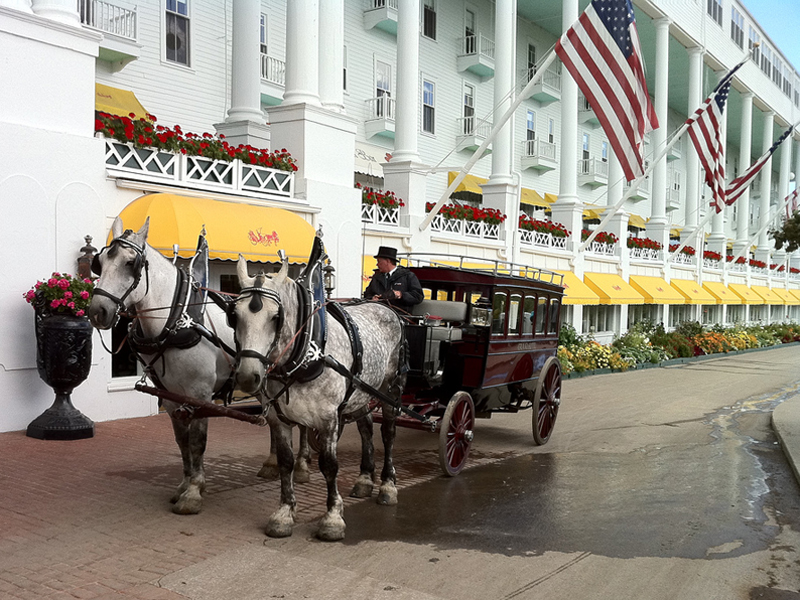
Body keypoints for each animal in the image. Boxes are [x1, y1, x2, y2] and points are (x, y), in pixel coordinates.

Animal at [89, 219, 310, 516]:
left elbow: (197, 441)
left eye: (130, 263)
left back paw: (302, 465)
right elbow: (182, 442)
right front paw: (185, 484)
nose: (97, 311)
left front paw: (193, 492)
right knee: (275, 422)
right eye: (99, 262)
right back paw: (272, 463)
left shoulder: (200, 394)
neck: (176, 321)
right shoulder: (170, 397)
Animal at [231, 253, 406, 540]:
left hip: (391, 389)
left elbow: (329, 465)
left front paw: (332, 518)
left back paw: (387, 486)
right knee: (367, 429)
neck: (306, 352)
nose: (248, 376)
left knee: (388, 433)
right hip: (361, 390)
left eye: (276, 316)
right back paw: (364, 479)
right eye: (234, 315)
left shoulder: (328, 418)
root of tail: (388, 309)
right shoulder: (279, 418)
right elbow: (286, 462)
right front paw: (284, 513)